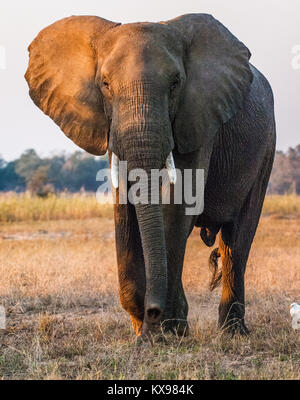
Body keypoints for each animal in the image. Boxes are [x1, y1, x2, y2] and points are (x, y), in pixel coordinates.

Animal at [25, 13, 276, 338]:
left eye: (175, 83)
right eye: (105, 84)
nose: (152, 311)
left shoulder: (197, 117)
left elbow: (177, 206)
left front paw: (167, 329)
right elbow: (124, 207)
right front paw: (143, 328)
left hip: (266, 147)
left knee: (237, 242)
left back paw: (232, 333)